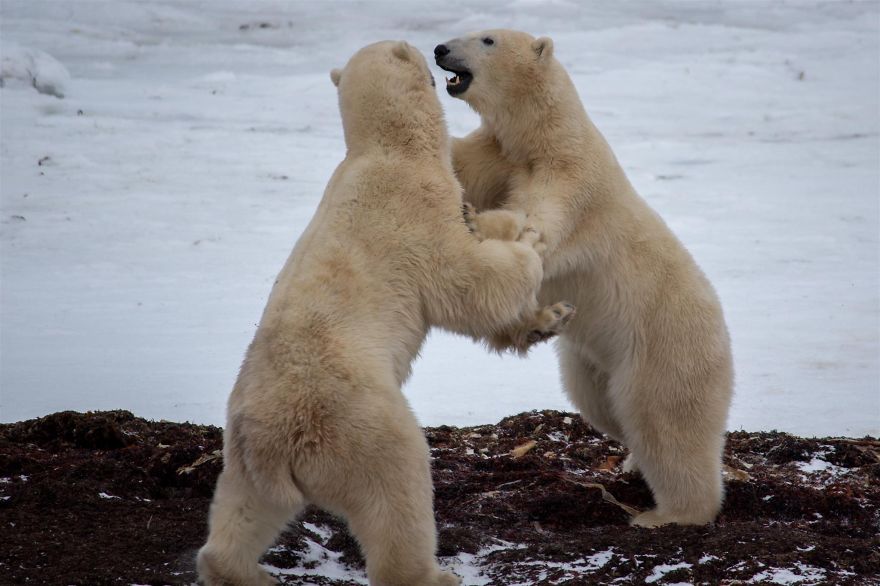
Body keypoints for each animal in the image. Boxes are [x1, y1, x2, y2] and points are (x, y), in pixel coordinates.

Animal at [196, 40, 575, 586]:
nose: (437, 49)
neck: (386, 148)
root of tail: (281, 441)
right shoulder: (416, 210)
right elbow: (466, 284)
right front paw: (526, 241)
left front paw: (552, 315)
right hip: (359, 425)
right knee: (398, 489)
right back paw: (435, 574)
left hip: (246, 453)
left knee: (244, 511)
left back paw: (243, 571)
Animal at [435, 29, 734, 527]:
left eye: (487, 38)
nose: (440, 49)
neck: (544, 139)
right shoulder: (499, 156)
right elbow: (462, 165)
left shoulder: (573, 181)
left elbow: (538, 229)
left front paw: (476, 221)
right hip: (593, 361)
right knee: (603, 406)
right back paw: (632, 462)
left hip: (665, 348)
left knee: (666, 425)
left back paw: (667, 513)